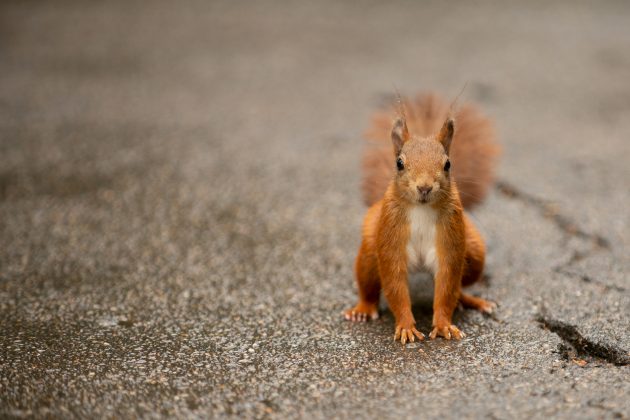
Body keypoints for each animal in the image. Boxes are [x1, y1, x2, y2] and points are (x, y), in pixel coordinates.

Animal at [344, 94, 502, 344]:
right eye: (399, 163)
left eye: (448, 164)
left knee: (459, 288)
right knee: (368, 283)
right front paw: (406, 326)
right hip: (370, 250)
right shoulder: (390, 236)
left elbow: (447, 285)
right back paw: (363, 309)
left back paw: (473, 301)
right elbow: (395, 284)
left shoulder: (451, 236)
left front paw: (444, 325)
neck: (421, 210)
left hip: (475, 253)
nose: (424, 187)